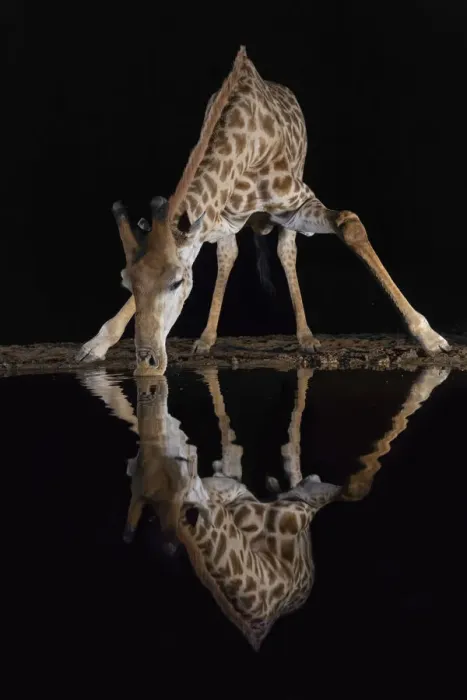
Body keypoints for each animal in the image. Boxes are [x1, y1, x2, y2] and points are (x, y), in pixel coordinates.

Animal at [76, 46, 450, 376]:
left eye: (177, 282)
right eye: (126, 282)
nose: (147, 364)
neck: (245, 145)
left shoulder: (298, 203)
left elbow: (349, 224)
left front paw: (430, 337)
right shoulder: (214, 219)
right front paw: (95, 345)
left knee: (286, 251)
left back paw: (306, 338)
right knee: (229, 255)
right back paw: (206, 340)